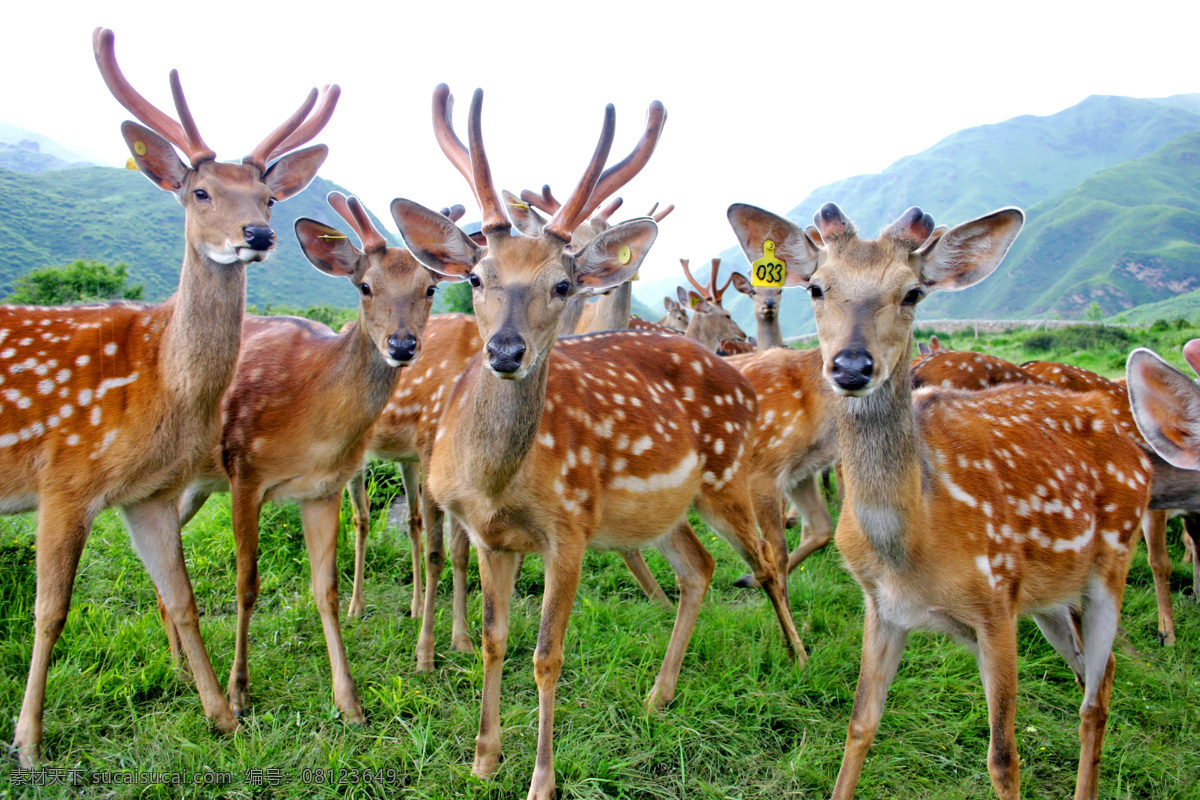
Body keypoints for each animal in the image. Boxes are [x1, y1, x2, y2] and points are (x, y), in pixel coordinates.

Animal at [3, 28, 333, 767]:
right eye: (200, 191)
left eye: (268, 198)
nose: (258, 236)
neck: (159, 389)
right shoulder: (63, 478)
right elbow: (49, 610)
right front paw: (29, 742)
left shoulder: (149, 490)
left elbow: (182, 597)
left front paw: (223, 717)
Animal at [164, 191, 451, 719]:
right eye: (365, 285)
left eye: (430, 289)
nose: (402, 344)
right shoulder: (245, 471)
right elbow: (247, 584)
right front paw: (238, 692)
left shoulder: (322, 488)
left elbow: (326, 589)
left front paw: (349, 700)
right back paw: (182, 663)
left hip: (199, 483)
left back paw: (176, 657)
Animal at [391, 86, 806, 800]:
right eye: (475, 278)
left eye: (562, 285)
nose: (506, 351)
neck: (496, 482)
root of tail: (737, 371)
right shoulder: (490, 536)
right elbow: (496, 640)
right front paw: (483, 758)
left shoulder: (571, 528)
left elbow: (546, 655)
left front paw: (540, 780)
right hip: (661, 509)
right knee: (699, 568)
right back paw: (658, 696)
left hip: (727, 476)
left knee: (765, 562)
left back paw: (798, 655)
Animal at [724, 201, 1156, 800]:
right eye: (815, 287)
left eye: (912, 293)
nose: (852, 366)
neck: (913, 543)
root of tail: (1132, 442)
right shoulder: (882, 607)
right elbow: (860, 724)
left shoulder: (996, 604)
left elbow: (1003, 757)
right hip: (1048, 597)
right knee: (1094, 673)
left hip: (1110, 566)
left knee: (1096, 694)